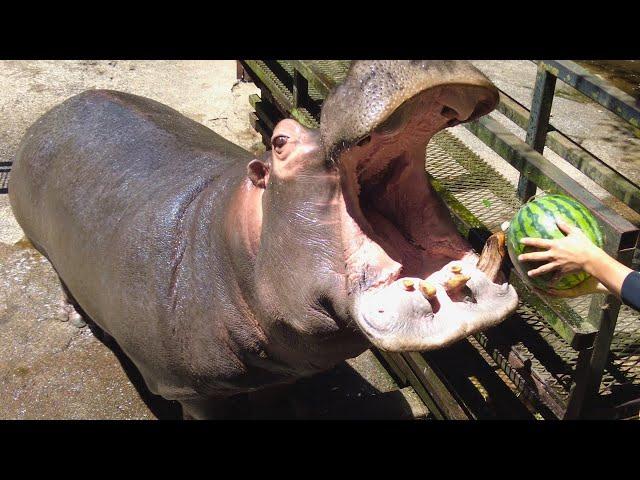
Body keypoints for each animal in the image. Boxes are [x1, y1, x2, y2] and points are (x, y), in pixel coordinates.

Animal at [8, 60, 520, 418]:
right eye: (280, 140)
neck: (231, 247)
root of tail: (56, 110)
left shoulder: (284, 368)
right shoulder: (190, 392)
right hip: (44, 247)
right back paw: (73, 315)